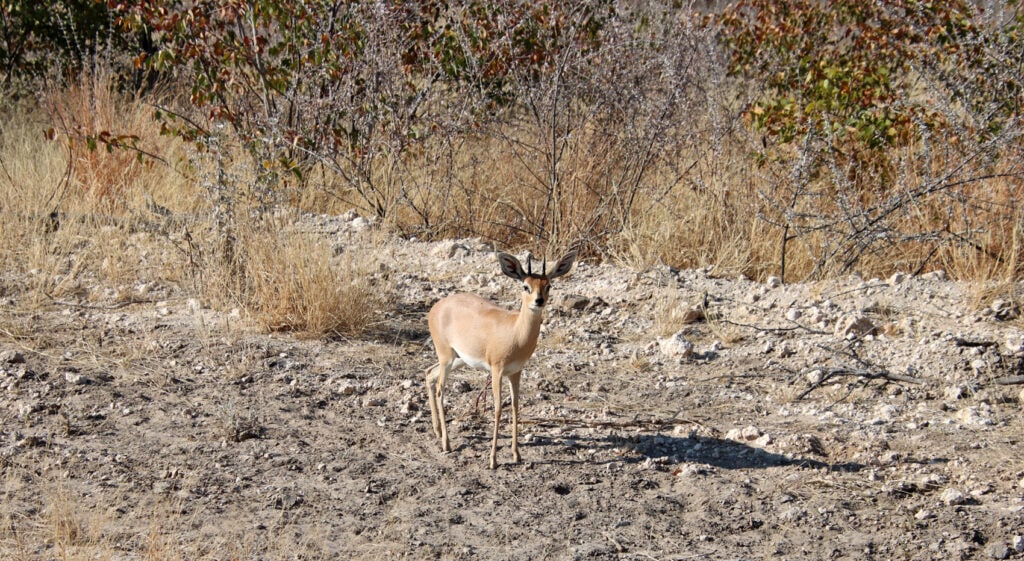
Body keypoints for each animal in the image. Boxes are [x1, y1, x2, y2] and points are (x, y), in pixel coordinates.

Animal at [425, 251, 577, 469]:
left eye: (548, 285)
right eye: (525, 286)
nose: (539, 301)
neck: (515, 333)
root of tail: (437, 306)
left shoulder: (515, 372)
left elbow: (515, 406)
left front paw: (516, 454)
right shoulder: (496, 371)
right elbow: (497, 409)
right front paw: (493, 460)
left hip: (457, 359)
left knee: (429, 373)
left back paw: (437, 431)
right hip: (446, 356)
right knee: (439, 390)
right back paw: (447, 443)